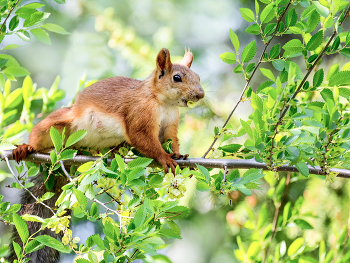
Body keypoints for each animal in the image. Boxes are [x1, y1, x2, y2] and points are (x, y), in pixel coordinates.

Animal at [13, 48, 205, 173]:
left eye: (198, 77)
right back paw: (26, 147)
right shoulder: (140, 111)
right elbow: (141, 136)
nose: (201, 94)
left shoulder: (170, 121)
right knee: (39, 135)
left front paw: (179, 154)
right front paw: (164, 157)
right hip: (59, 123)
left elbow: (170, 138)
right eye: (177, 78)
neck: (165, 104)